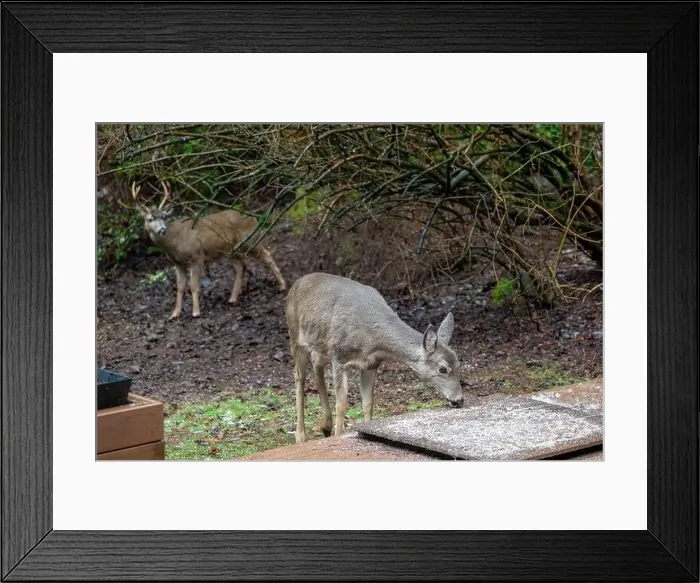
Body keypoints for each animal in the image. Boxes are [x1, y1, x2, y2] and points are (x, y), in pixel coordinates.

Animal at [130, 182, 287, 319]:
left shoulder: (196, 256)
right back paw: (232, 298)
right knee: (241, 266)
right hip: (229, 251)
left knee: (266, 255)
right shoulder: (178, 263)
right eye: (150, 219)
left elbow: (193, 286)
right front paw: (174, 314)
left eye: (163, 216)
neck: (175, 242)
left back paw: (282, 286)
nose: (162, 230)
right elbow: (180, 287)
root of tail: (253, 218)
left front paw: (195, 312)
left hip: (249, 240)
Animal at [285, 272, 464, 443]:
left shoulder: (371, 364)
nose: (459, 399)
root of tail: (295, 285)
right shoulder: (339, 357)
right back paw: (301, 436)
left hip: (320, 342)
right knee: (299, 376)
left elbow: (368, 403)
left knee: (316, 361)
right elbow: (341, 404)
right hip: (295, 336)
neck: (372, 341)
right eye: (442, 369)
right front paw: (338, 436)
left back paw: (326, 426)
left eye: (458, 362)